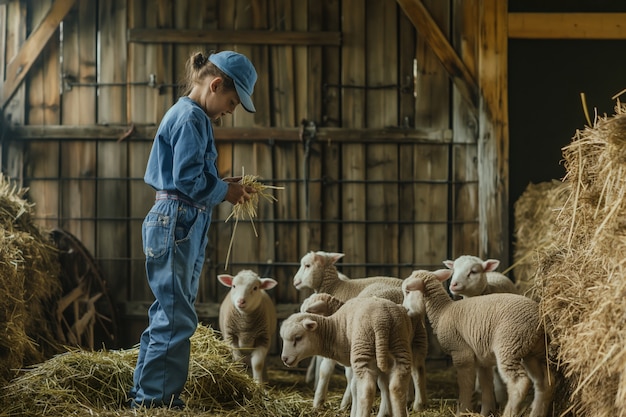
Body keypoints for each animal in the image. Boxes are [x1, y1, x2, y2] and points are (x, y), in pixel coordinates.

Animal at [280, 294, 412, 416]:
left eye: (298, 338)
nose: (284, 359)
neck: (335, 329)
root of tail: (383, 322)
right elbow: (378, 386)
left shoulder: (353, 361)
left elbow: (354, 387)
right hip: (400, 345)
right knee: (397, 387)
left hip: (362, 348)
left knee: (366, 389)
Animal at [400, 268, 552, 414]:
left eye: (407, 291)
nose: (404, 309)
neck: (442, 311)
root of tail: (538, 320)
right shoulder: (482, 358)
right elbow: (486, 383)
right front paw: (486, 411)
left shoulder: (461, 352)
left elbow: (466, 384)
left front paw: (463, 410)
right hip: (534, 351)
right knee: (545, 381)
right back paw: (537, 411)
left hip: (509, 344)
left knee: (519, 383)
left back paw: (509, 412)